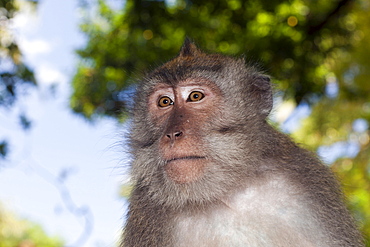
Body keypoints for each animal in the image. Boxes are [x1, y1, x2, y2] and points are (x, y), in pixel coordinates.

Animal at [122, 39, 364, 246]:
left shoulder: (308, 183)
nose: (172, 134)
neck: (224, 191)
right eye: (165, 102)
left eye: (195, 96)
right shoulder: (147, 209)